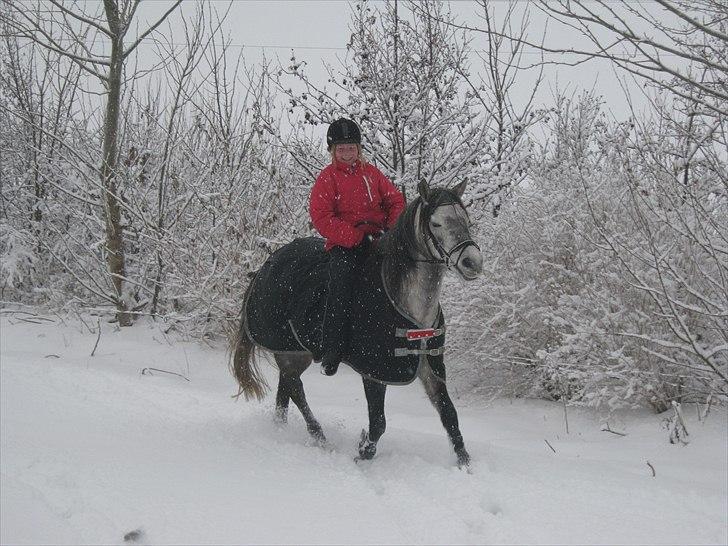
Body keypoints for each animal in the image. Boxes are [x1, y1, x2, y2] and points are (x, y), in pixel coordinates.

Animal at [230, 180, 484, 468]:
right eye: (436, 223)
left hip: (295, 352)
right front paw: (363, 451)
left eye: (466, 220)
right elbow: (378, 423)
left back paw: (282, 428)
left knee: (286, 387)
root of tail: (266, 265)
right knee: (295, 388)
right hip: (289, 351)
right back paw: (319, 436)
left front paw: (465, 463)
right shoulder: (374, 371)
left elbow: (449, 415)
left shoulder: (429, 366)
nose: (472, 262)